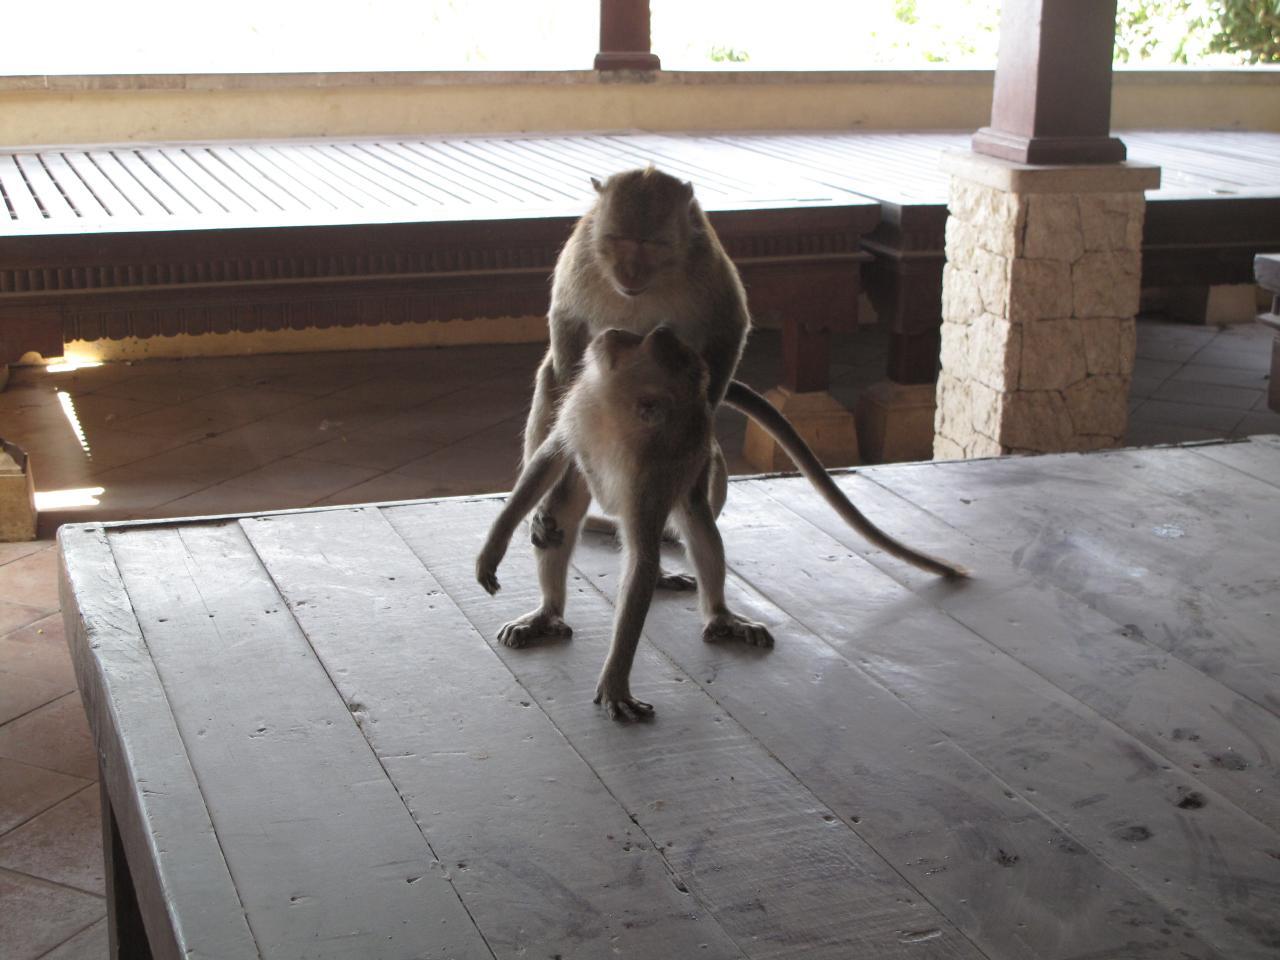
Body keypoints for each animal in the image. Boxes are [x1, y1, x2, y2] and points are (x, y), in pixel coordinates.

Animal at [476, 325, 762, 721]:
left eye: (645, 343)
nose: (615, 332)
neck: (617, 417)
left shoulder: (651, 479)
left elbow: (643, 559)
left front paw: (615, 682)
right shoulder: (581, 409)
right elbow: (548, 458)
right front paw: (494, 544)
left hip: (692, 473)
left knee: (696, 518)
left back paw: (719, 614)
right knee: (563, 511)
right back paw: (548, 612)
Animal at [496, 168, 962, 655]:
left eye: (654, 244)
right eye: (617, 239)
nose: (629, 272)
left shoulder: (705, 264)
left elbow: (729, 328)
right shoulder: (582, 260)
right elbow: (565, 334)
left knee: (692, 510)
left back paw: (711, 608)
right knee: (562, 470)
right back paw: (547, 606)